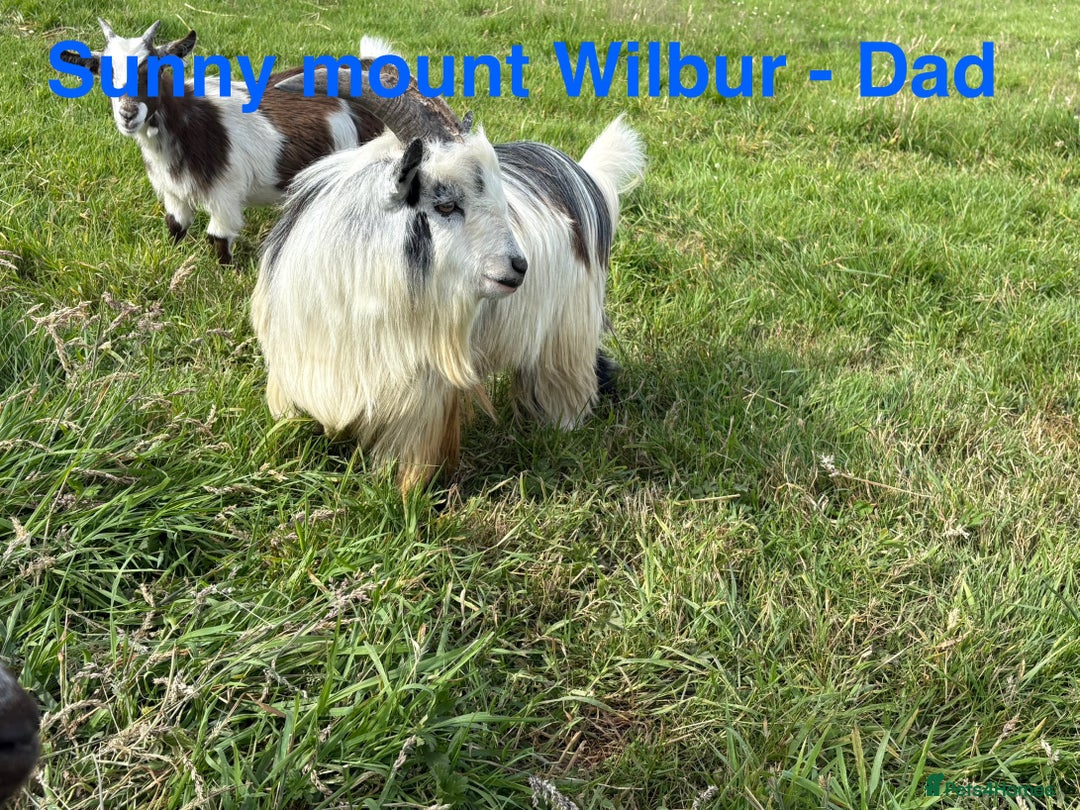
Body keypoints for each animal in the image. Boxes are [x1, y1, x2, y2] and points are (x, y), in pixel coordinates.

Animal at [59, 20, 387, 264]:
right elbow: (175, 226)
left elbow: (218, 239)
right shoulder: (174, 191)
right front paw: (171, 258)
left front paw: (224, 274)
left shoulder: (225, 193)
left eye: (158, 68)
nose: (128, 114)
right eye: (103, 71)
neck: (190, 123)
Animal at [250, 61, 644, 491]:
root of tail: (582, 177)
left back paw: (561, 428)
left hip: (568, 328)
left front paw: (402, 490)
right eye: (446, 205)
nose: (518, 266)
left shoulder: (420, 390)